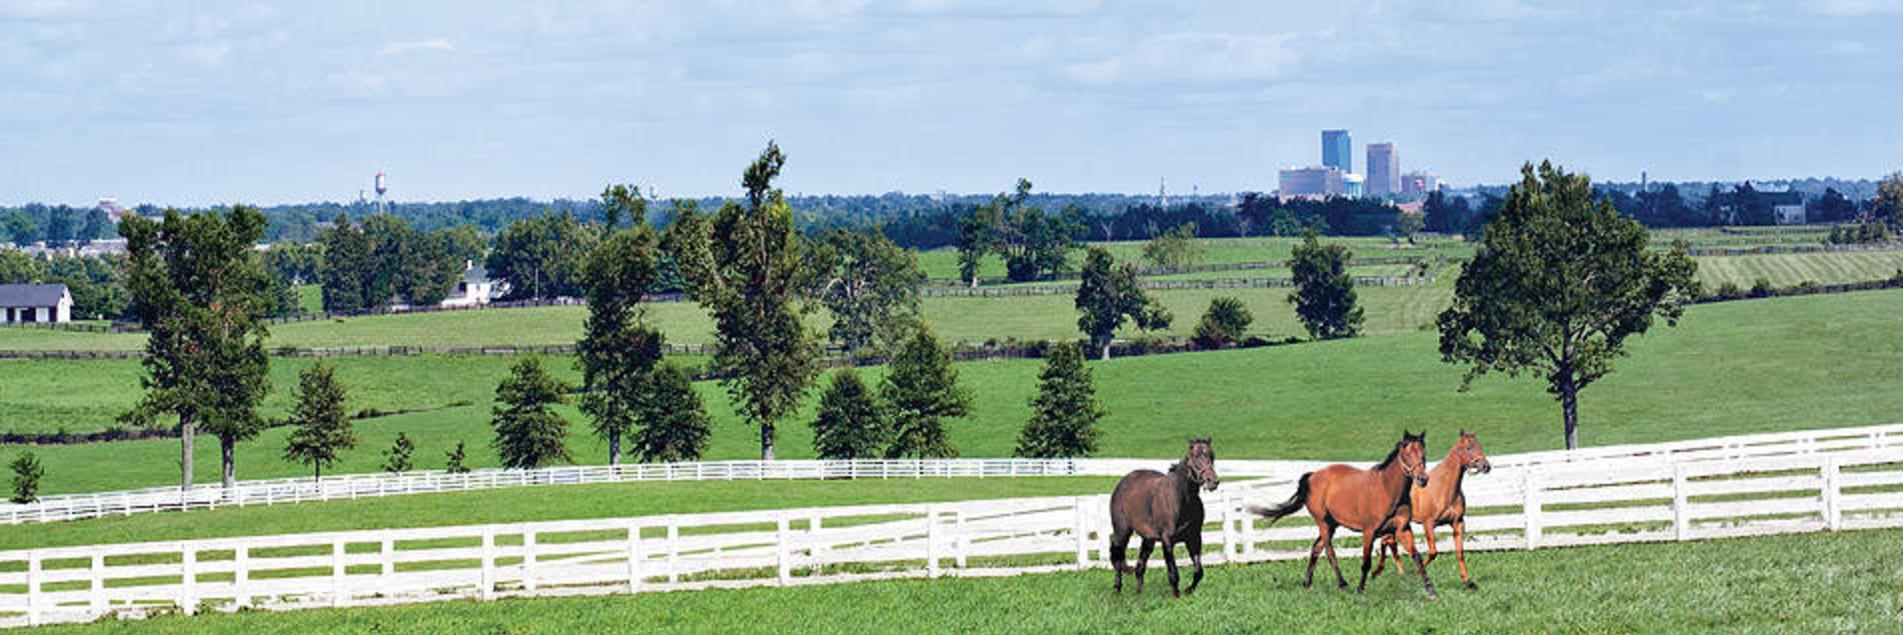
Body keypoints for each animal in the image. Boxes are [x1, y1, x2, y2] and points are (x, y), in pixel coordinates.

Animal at [1111, 439, 1225, 596]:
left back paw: (1139, 594)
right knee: (1117, 553)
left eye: (1212, 456)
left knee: (1140, 566)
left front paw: (1188, 590)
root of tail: (1123, 482)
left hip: (1148, 539)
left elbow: (1198, 571)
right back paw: (1117, 588)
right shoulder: (1167, 540)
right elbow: (1173, 573)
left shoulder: (1194, 538)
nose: (1212, 481)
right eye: (1195, 456)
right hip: (1122, 531)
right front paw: (1176, 595)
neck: (1181, 500)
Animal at [1255, 431, 1431, 600]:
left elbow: (1416, 557)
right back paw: (1342, 584)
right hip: (1323, 523)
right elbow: (1366, 562)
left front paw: (1431, 590)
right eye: (1406, 453)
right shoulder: (1369, 532)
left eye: (1424, 453)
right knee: (1329, 551)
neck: (1387, 490)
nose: (1422, 479)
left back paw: (1307, 583)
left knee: (1316, 548)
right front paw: (1360, 590)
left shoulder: (1403, 529)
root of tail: (1312, 476)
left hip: (1332, 524)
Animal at [1377, 429, 1491, 589]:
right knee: (1388, 541)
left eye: (1479, 446)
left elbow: (1460, 552)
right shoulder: (1428, 524)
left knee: (1388, 542)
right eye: (1469, 448)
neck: (1444, 488)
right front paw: (1417, 572)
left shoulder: (1457, 522)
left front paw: (1467, 581)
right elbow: (1433, 552)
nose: (1486, 466)